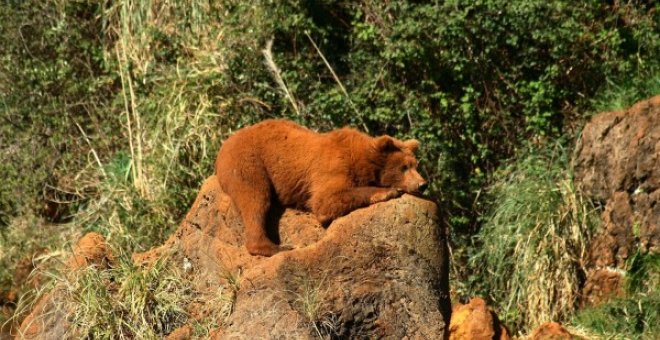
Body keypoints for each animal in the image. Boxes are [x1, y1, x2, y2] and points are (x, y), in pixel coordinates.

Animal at [214, 119, 426, 255]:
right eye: (403, 167)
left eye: (415, 165)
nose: (422, 184)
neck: (361, 160)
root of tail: (223, 146)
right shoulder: (332, 166)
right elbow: (325, 201)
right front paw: (388, 191)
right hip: (248, 162)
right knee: (255, 200)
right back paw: (276, 247)